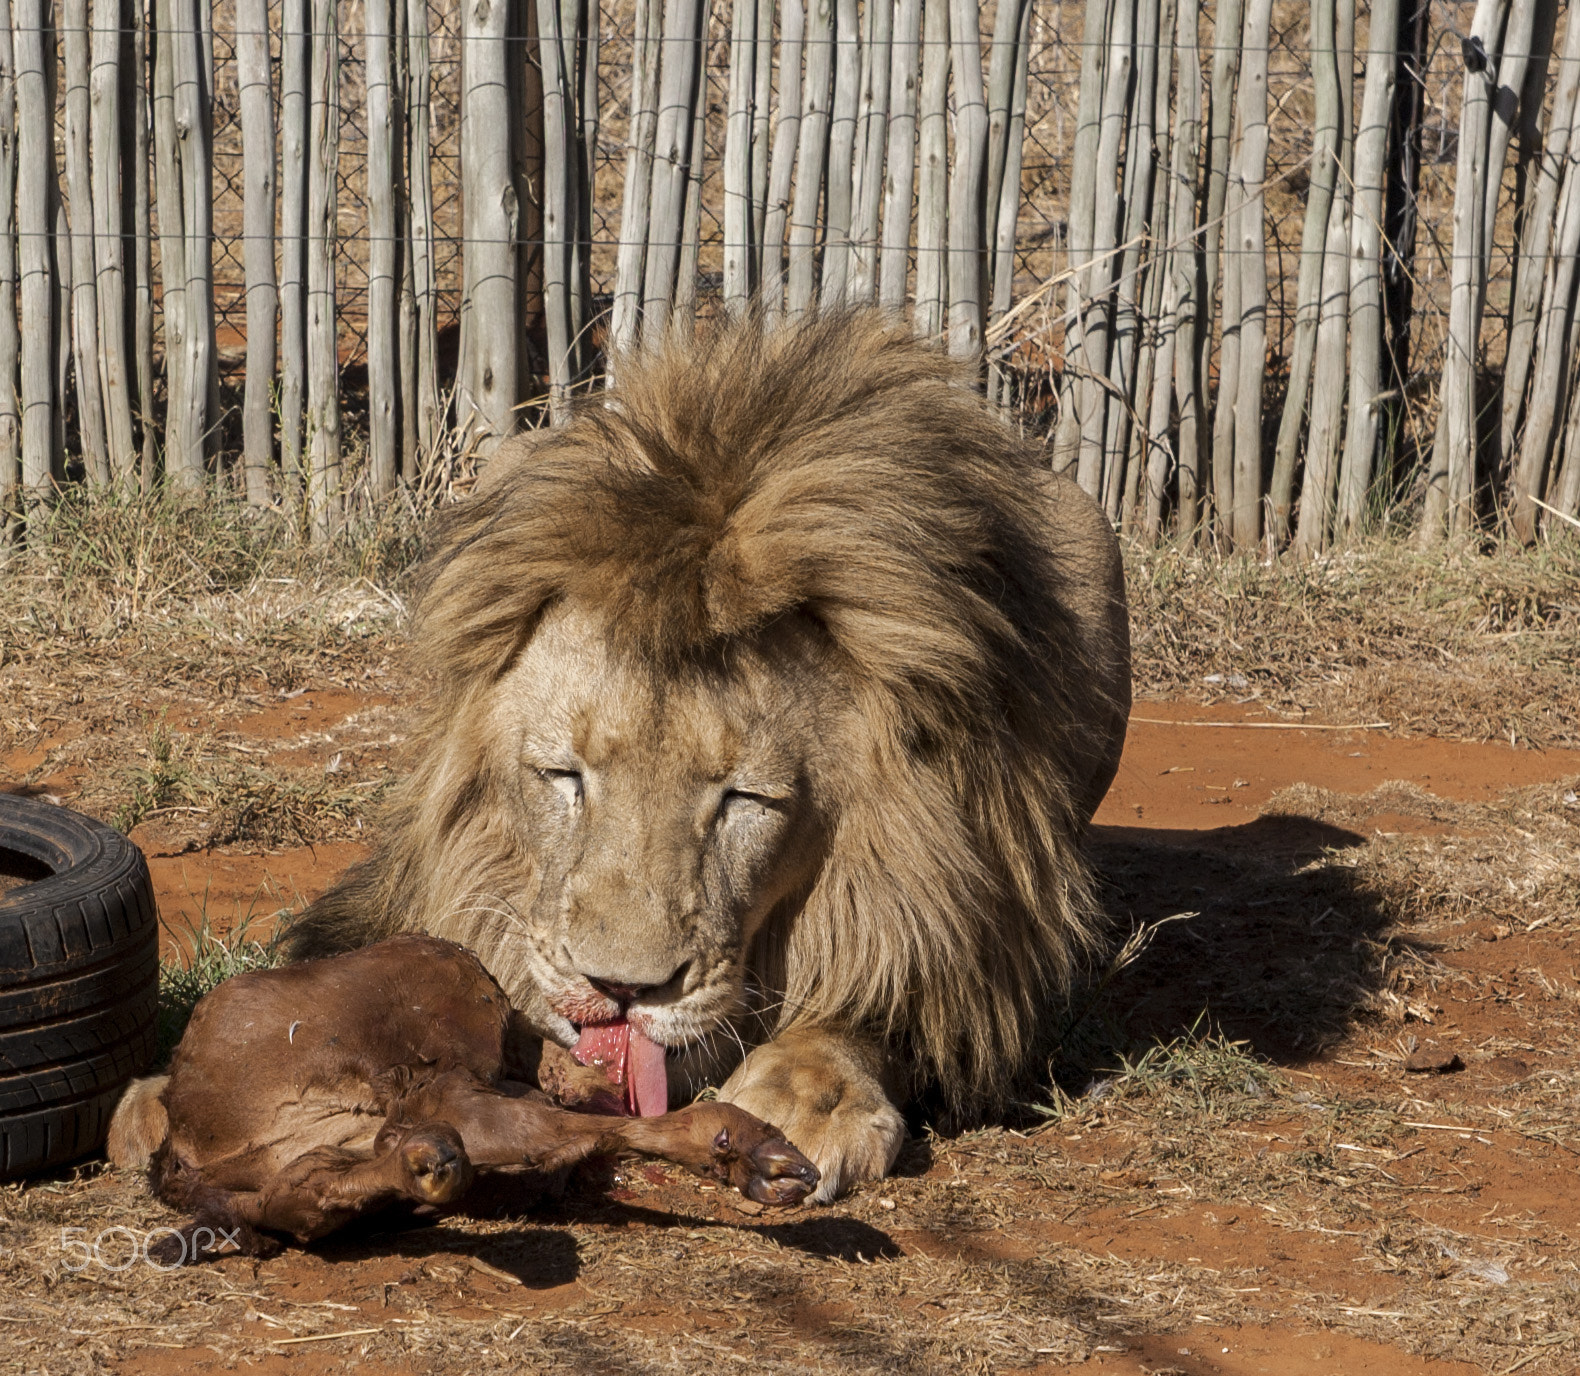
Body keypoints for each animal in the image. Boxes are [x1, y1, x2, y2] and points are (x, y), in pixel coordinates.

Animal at [112, 309, 1130, 1201]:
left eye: (746, 801)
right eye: (566, 778)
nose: (620, 991)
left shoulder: (963, 918)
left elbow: (868, 998)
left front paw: (797, 1103)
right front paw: (174, 1088)